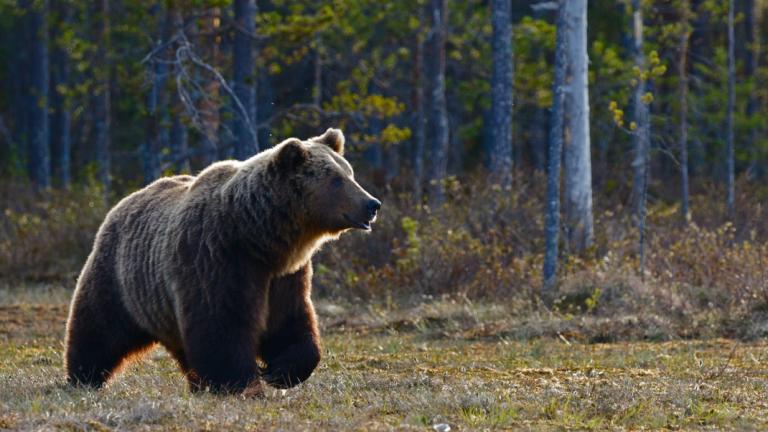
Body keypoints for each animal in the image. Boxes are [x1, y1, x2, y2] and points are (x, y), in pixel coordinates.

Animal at [63, 129, 380, 394]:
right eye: (336, 179)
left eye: (350, 173)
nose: (372, 204)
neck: (259, 238)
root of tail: (124, 202)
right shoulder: (217, 259)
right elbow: (222, 325)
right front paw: (241, 383)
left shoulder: (285, 276)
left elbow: (290, 322)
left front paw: (279, 372)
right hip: (120, 277)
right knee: (98, 327)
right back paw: (83, 377)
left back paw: (196, 383)